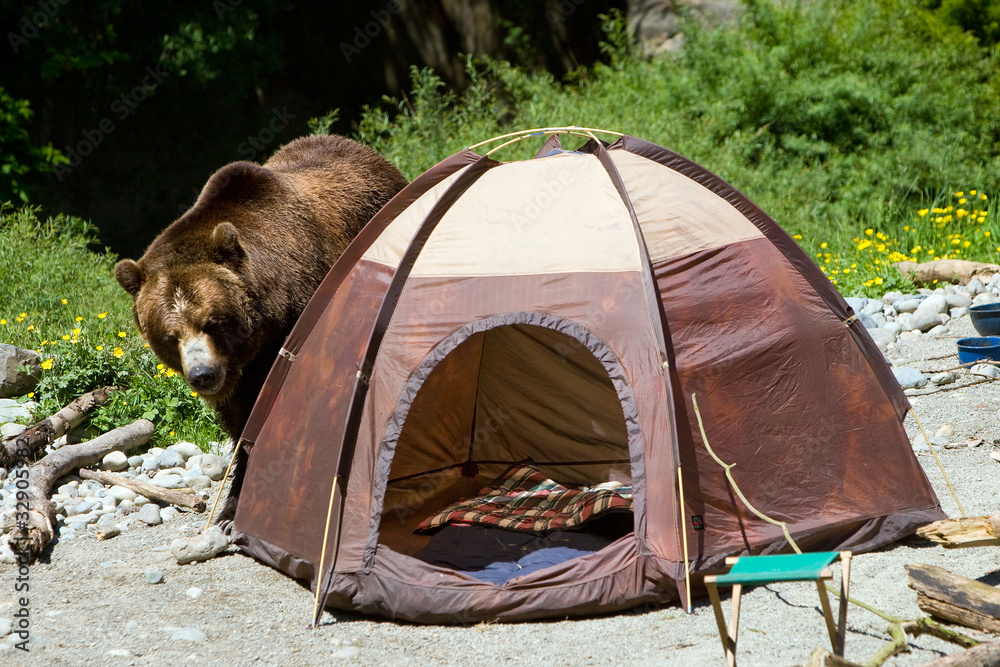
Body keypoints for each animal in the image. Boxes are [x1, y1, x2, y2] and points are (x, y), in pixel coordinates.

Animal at [114, 134, 408, 522]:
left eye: (213, 321)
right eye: (169, 336)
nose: (203, 375)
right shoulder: (239, 374)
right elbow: (241, 425)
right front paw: (233, 504)